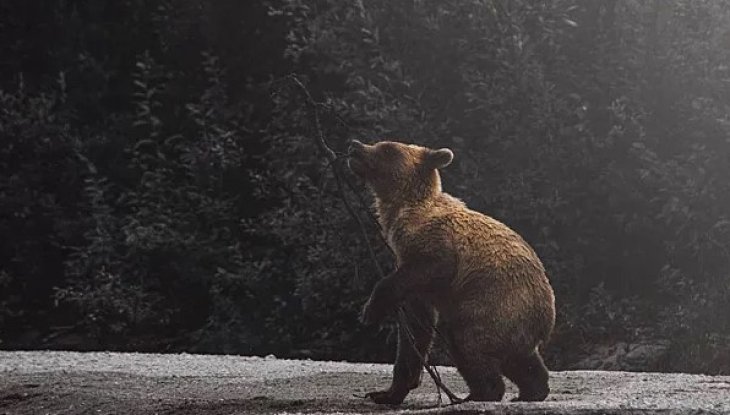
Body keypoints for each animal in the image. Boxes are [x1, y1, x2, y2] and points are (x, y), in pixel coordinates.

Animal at [347, 139, 556, 405]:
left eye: (387, 148)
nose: (355, 145)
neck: (401, 213)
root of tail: (547, 318)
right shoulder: (411, 280)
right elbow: (415, 331)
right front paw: (386, 393)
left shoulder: (435, 247)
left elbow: (432, 268)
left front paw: (370, 311)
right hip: (512, 321)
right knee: (519, 357)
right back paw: (531, 390)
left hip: (496, 303)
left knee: (467, 340)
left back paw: (481, 393)